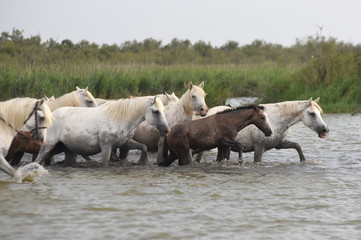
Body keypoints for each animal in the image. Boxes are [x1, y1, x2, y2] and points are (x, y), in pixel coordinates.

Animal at [35, 96, 170, 167]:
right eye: (156, 111)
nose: (167, 130)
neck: (120, 119)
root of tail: (51, 115)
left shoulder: (125, 143)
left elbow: (144, 147)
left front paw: (143, 162)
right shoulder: (106, 146)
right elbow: (105, 163)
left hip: (68, 149)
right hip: (48, 145)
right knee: (39, 158)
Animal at [195, 97, 328, 163]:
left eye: (319, 113)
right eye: (312, 113)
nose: (325, 130)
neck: (274, 121)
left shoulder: (279, 144)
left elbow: (297, 146)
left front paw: (303, 161)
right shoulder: (259, 148)